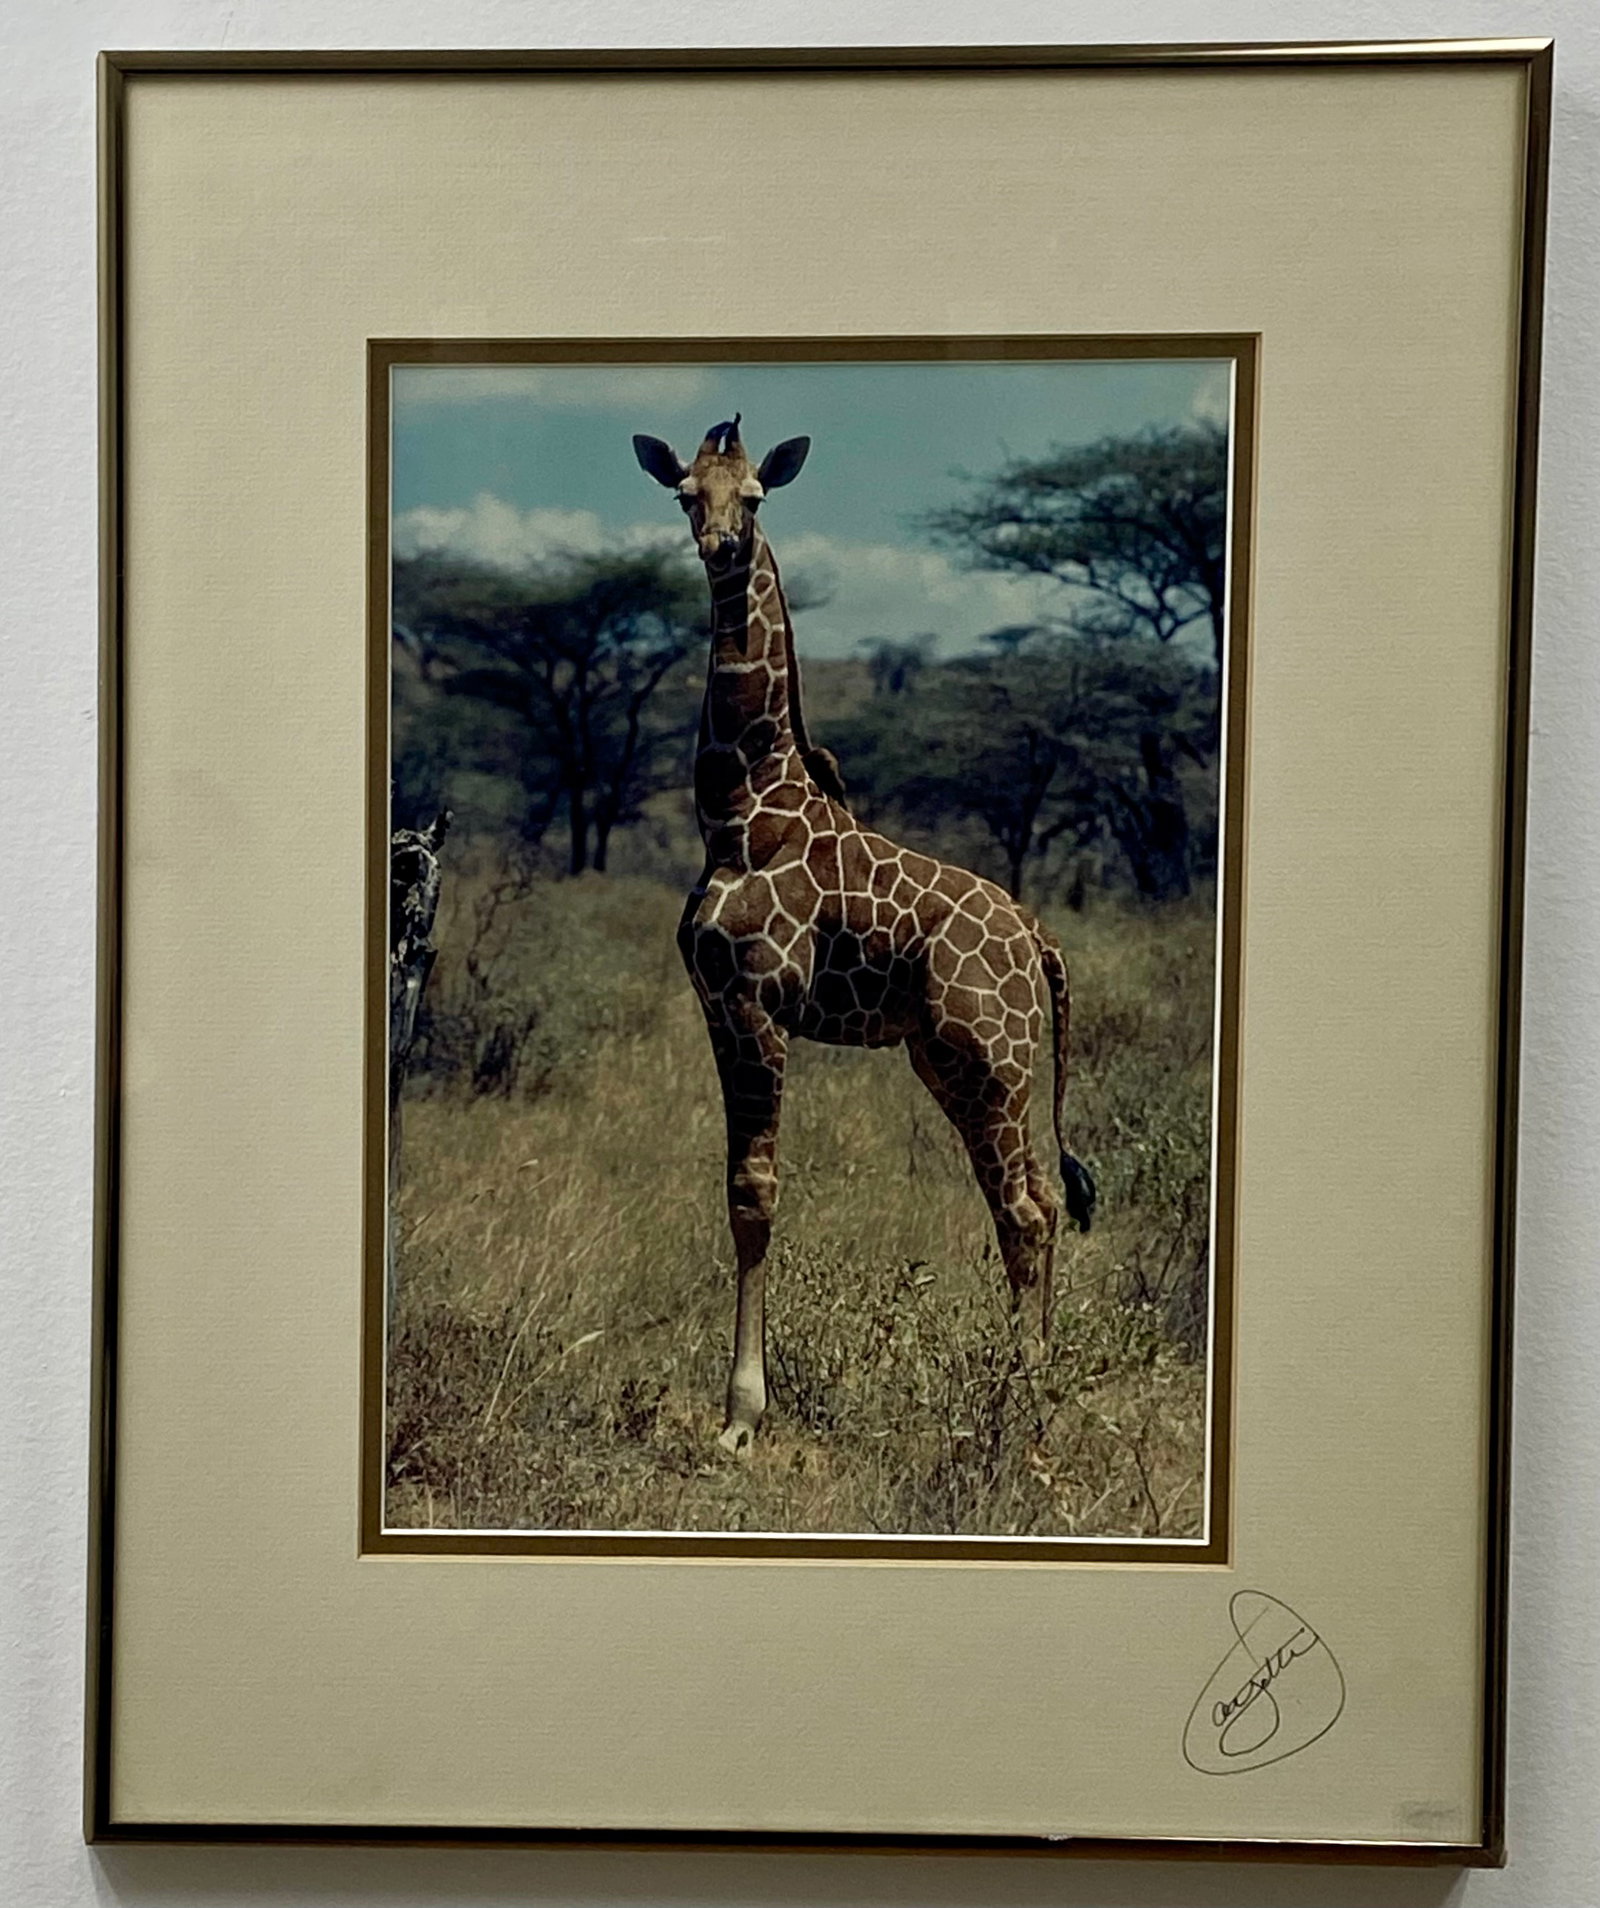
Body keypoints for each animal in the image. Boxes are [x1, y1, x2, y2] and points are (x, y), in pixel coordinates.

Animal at [634, 417, 1097, 1453]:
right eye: (685, 493)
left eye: (754, 495)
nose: (720, 547)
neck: (739, 814)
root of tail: (1039, 939)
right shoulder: (717, 1008)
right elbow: (736, 1190)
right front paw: (737, 1408)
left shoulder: (760, 1006)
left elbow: (757, 1195)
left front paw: (741, 1418)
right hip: (955, 1062)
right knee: (1039, 1200)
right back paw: (1032, 1386)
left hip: (990, 1058)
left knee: (1025, 1210)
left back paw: (1022, 1406)